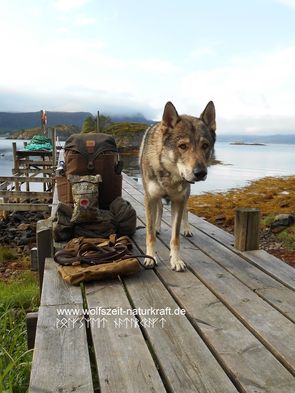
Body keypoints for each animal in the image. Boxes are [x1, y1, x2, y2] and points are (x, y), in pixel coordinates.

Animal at [140, 101, 216, 272]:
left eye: (205, 146)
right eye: (183, 146)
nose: (200, 173)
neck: (170, 176)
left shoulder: (178, 201)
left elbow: (175, 237)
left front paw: (176, 260)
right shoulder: (150, 199)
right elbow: (149, 234)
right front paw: (150, 257)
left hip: (186, 195)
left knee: (186, 211)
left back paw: (187, 229)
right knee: (160, 209)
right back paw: (157, 227)